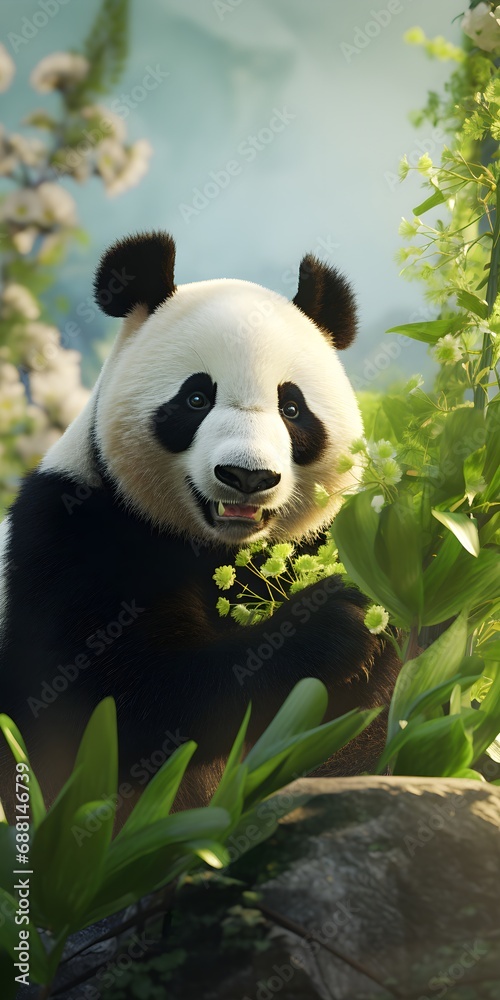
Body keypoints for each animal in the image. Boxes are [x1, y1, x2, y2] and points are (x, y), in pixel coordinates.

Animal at [0, 231, 399, 809]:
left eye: (292, 409)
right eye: (195, 398)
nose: (247, 476)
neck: (218, 546)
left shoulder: (320, 536)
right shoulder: (71, 535)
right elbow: (115, 703)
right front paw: (333, 624)